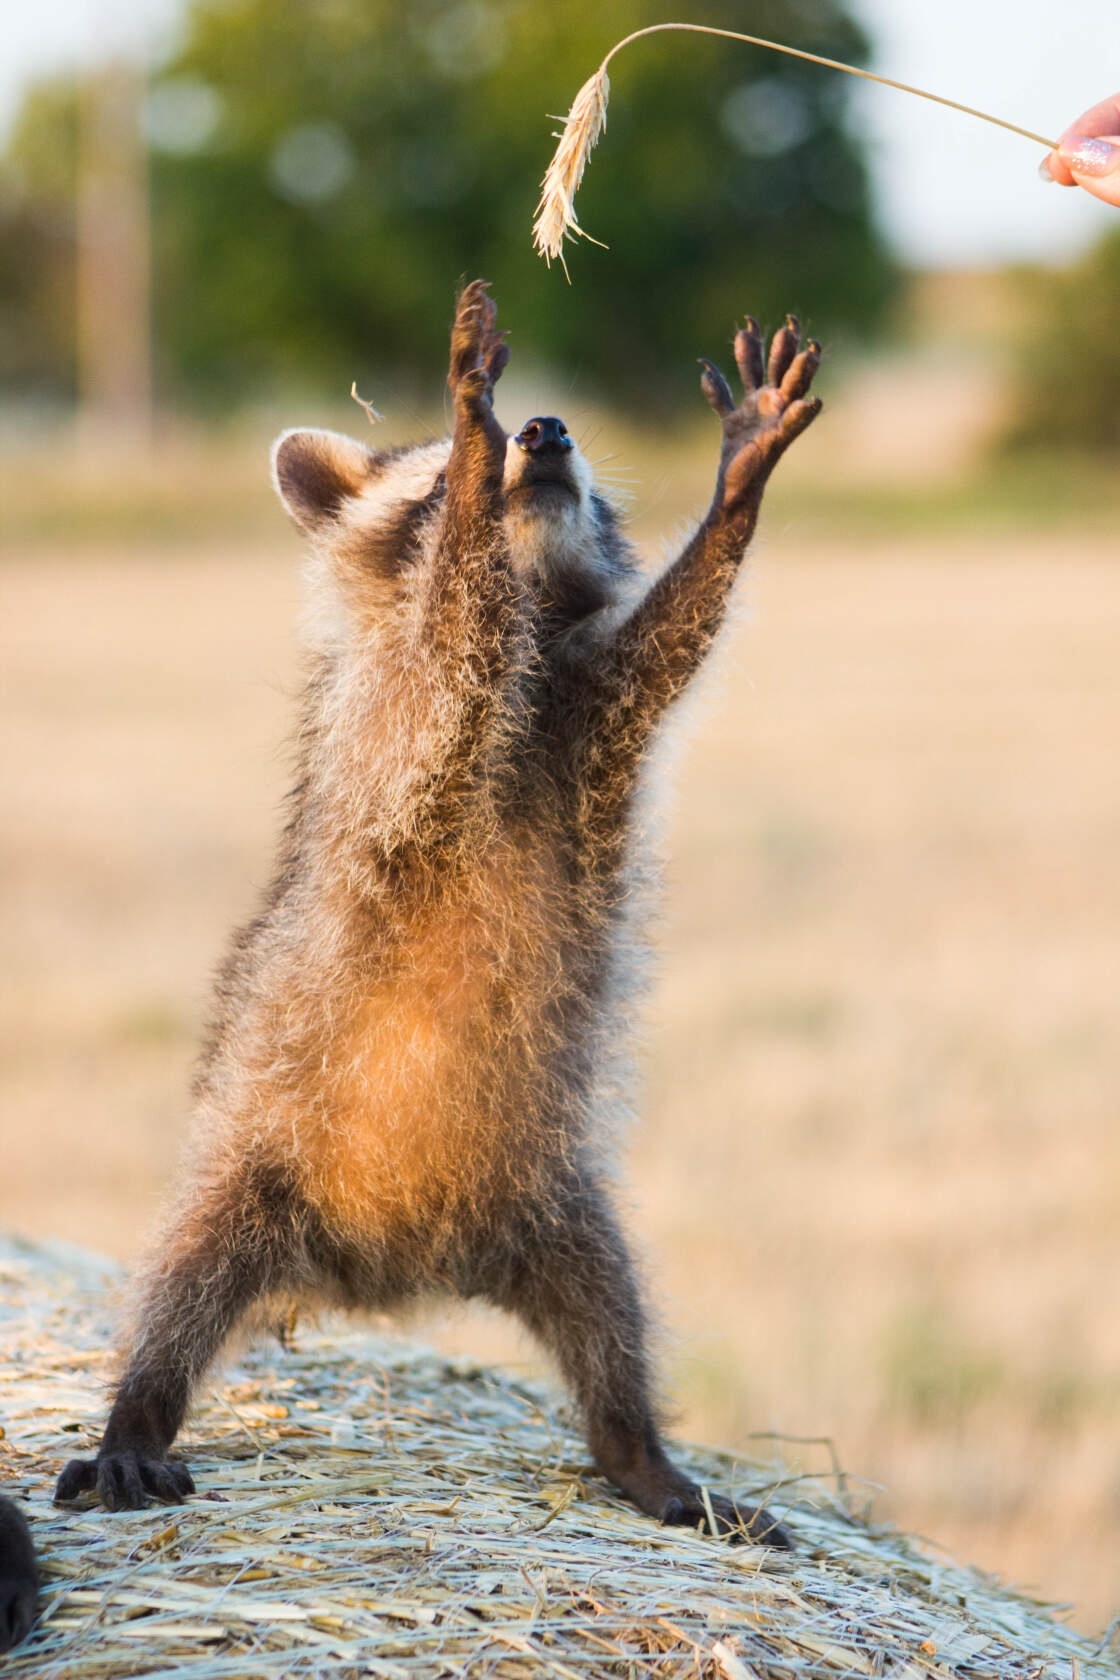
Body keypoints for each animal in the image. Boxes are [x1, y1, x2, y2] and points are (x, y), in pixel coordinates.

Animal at [54, 278, 822, 1545]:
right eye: (412, 491)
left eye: (584, 475)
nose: (541, 432)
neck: (532, 621)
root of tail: (386, 1270)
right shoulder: (400, 716)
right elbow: (450, 619)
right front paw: (468, 449)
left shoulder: (590, 718)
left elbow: (668, 645)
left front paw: (737, 482)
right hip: (256, 1159)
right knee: (182, 1279)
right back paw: (139, 1415)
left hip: (553, 1197)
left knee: (611, 1313)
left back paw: (637, 1448)